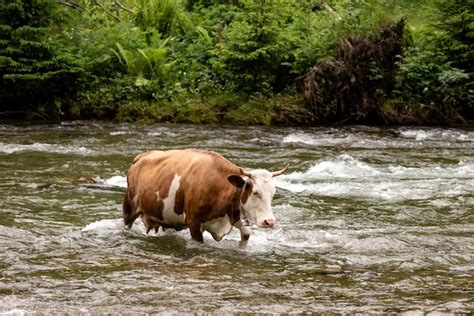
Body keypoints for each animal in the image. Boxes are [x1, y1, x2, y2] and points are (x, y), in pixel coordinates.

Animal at [121, 149, 288, 243]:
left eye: (273, 193)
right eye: (255, 192)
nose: (270, 222)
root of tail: (140, 158)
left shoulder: (235, 215)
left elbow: (246, 234)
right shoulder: (193, 222)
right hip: (130, 208)